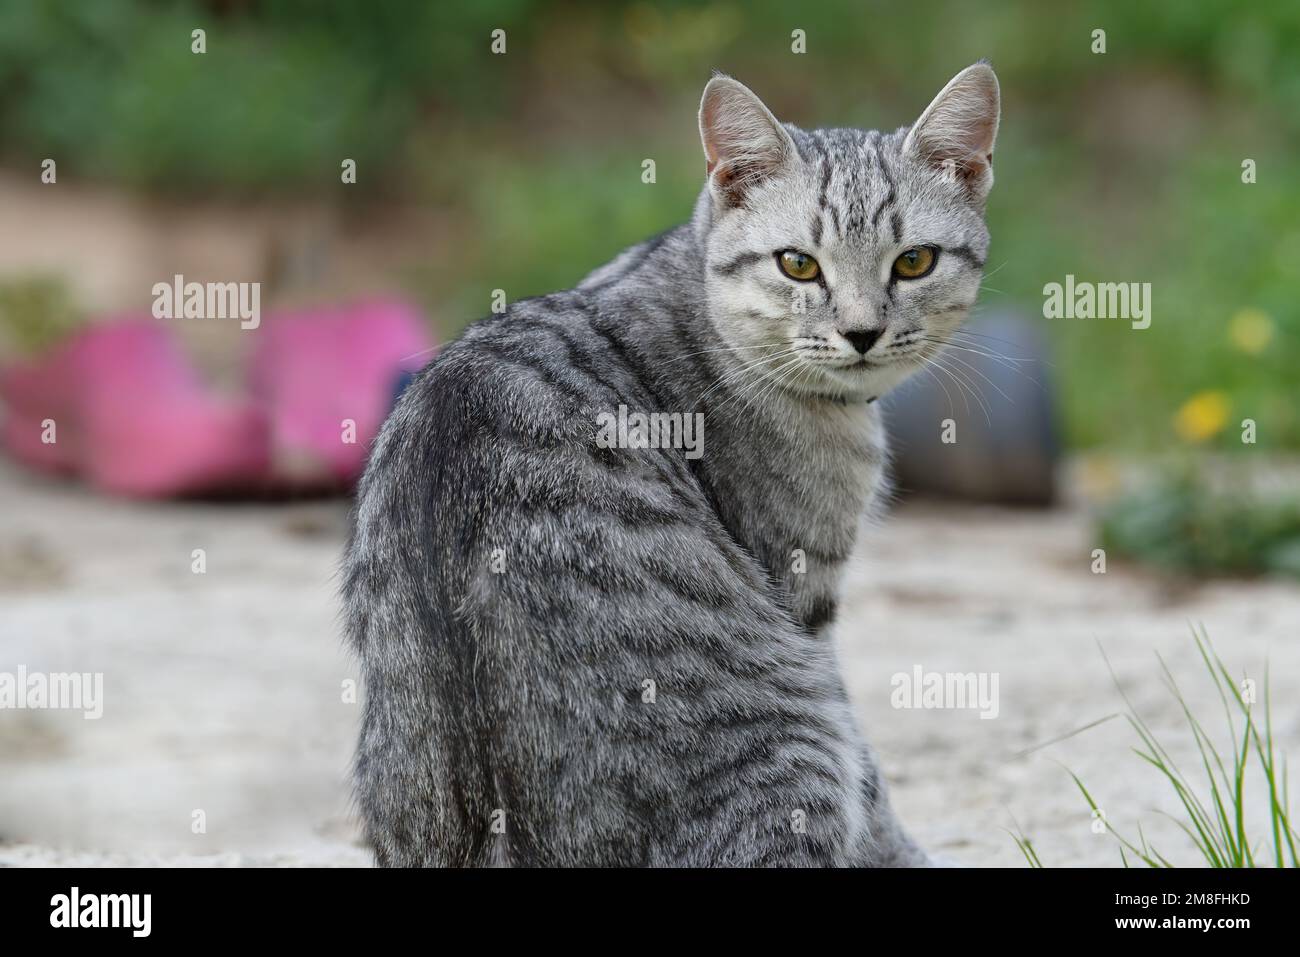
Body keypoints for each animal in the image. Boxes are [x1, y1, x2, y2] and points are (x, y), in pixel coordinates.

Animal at [340, 59, 998, 868]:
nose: (862, 332)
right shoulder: (806, 602)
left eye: (914, 262)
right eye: (798, 265)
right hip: (792, 740)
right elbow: (872, 783)